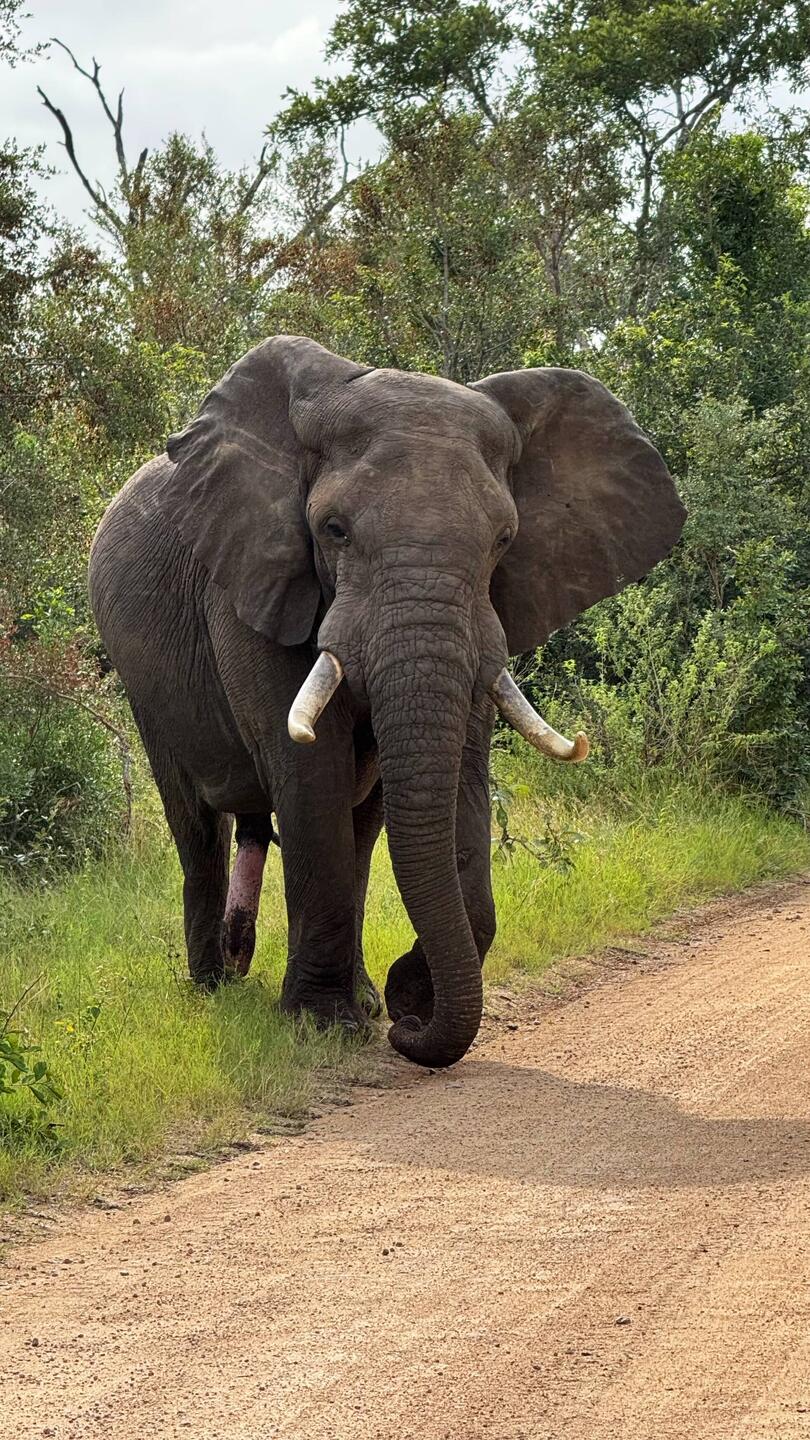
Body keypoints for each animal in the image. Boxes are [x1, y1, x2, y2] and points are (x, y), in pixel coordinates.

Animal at [88, 336, 685, 1069]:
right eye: (334, 530)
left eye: (505, 540)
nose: (410, 1025)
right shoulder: (251, 581)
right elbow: (309, 770)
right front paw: (325, 1026)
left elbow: (461, 773)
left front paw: (395, 1003)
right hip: (142, 678)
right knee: (198, 824)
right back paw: (217, 991)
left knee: (357, 826)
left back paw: (344, 994)